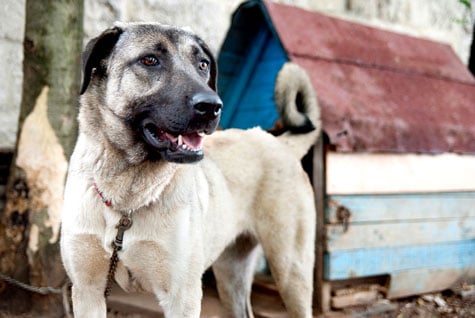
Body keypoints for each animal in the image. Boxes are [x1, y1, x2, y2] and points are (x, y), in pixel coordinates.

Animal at [59, 21, 320, 316]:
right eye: (150, 60)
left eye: (203, 65)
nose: (212, 106)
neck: (127, 197)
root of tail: (279, 142)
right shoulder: (87, 291)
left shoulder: (181, 297)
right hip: (232, 274)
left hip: (291, 271)